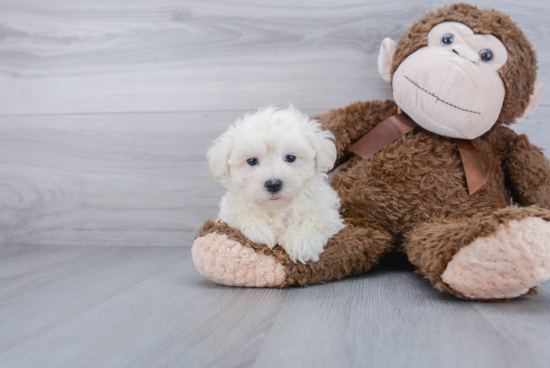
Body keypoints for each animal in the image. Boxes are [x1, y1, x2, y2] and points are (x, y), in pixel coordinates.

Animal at [209, 105, 348, 264]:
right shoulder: (228, 214)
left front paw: (302, 242)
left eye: (291, 157)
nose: (273, 184)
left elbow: (314, 220)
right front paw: (260, 231)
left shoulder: (327, 213)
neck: (276, 208)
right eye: (252, 161)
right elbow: (241, 215)